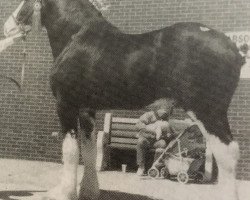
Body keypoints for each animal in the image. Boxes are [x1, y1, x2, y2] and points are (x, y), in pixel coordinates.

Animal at [3, 0, 246, 200]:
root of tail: (234, 48)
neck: (76, 36)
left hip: (208, 111)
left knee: (227, 153)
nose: (7, 27)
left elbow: (70, 150)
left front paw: (63, 193)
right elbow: (89, 150)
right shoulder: (86, 110)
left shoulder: (66, 105)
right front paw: (88, 191)